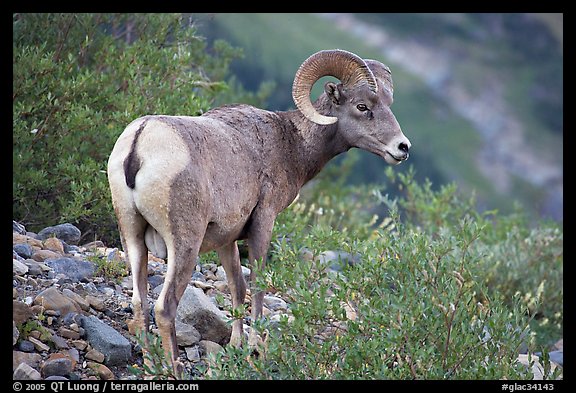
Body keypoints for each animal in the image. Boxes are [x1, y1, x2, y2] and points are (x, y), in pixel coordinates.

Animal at [108, 47, 412, 372]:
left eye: (388, 105)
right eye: (362, 106)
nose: (402, 148)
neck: (290, 143)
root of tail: (140, 142)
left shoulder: (226, 239)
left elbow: (237, 288)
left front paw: (236, 346)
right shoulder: (263, 223)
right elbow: (258, 286)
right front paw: (255, 350)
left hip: (132, 236)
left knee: (140, 303)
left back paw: (151, 364)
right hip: (184, 245)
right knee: (164, 308)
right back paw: (174, 367)